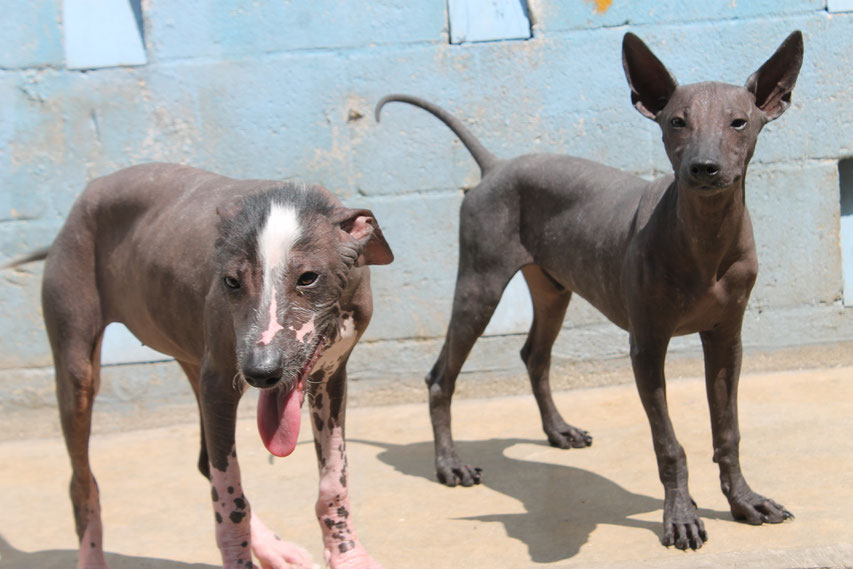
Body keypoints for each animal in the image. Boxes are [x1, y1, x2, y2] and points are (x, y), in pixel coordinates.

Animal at [376, 32, 804, 552]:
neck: (703, 237)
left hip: (553, 288)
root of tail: (495, 168)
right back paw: (449, 465)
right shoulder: (647, 347)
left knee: (534, 356)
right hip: (480, 283)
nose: (704, 168)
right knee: (441, 376)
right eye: (677, 122)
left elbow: (729, 432)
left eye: (739, 122)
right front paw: (681, 516)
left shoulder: (727, 340)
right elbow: (669, 444)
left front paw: (744, 502)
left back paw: (558, 430)